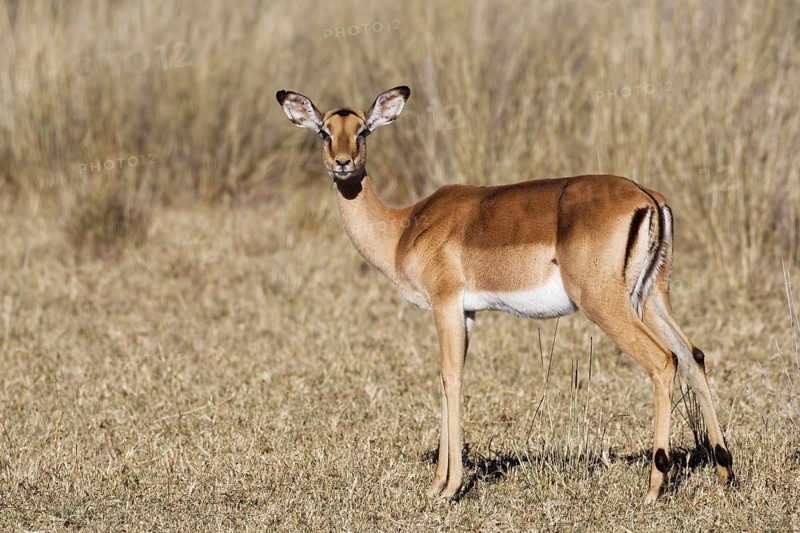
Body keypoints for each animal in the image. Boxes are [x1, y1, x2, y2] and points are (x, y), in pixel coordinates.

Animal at [276, 86, 736, 503]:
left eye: (364, 130)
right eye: (325, 131)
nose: (343, 163)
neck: (404, 227)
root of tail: (647, 197)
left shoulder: (445, 303)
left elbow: (451, 378)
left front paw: (448, 489)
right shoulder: (467, 312)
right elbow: (447, 379)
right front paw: (438, 484)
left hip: (605, 303)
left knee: (663, 360)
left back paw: (654, 487)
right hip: (653, 298)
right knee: (693, 355)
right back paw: (724, 472)